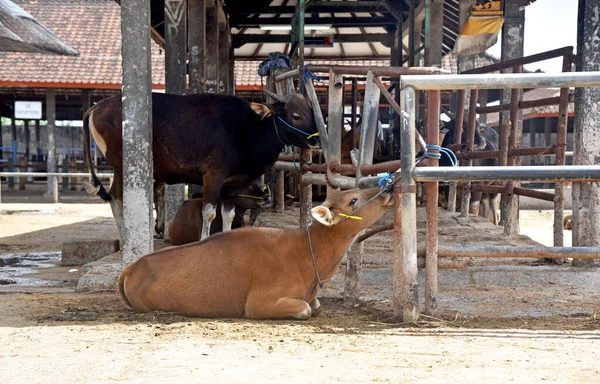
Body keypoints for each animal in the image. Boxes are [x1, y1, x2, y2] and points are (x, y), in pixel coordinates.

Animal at [85, 91, 322, 240]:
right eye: (296, 115)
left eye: (312, 112)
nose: (316, 140)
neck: (249, 129)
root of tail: (97, 106)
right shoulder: (213, 177)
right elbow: (209, 213)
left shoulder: (232, 186)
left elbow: (228, 215)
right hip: (122, 166)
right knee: (117, 198)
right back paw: (126, 240)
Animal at [119, 188, 396, 320]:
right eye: (353, 200)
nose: (389, 190)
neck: (305, 253)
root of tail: (132, 268)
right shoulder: (258, 303)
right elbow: (306, 308)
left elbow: (315, 305)